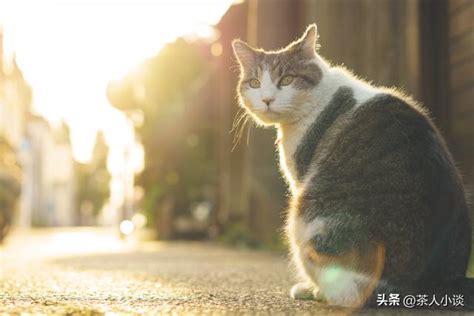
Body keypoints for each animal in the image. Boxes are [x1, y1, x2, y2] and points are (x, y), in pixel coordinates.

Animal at [231, 24, 472, 308]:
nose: (267, 99)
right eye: (254, 83)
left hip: (304, 216)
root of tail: (431, 283)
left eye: (287, 80)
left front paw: (310, 288)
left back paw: (317, 291)